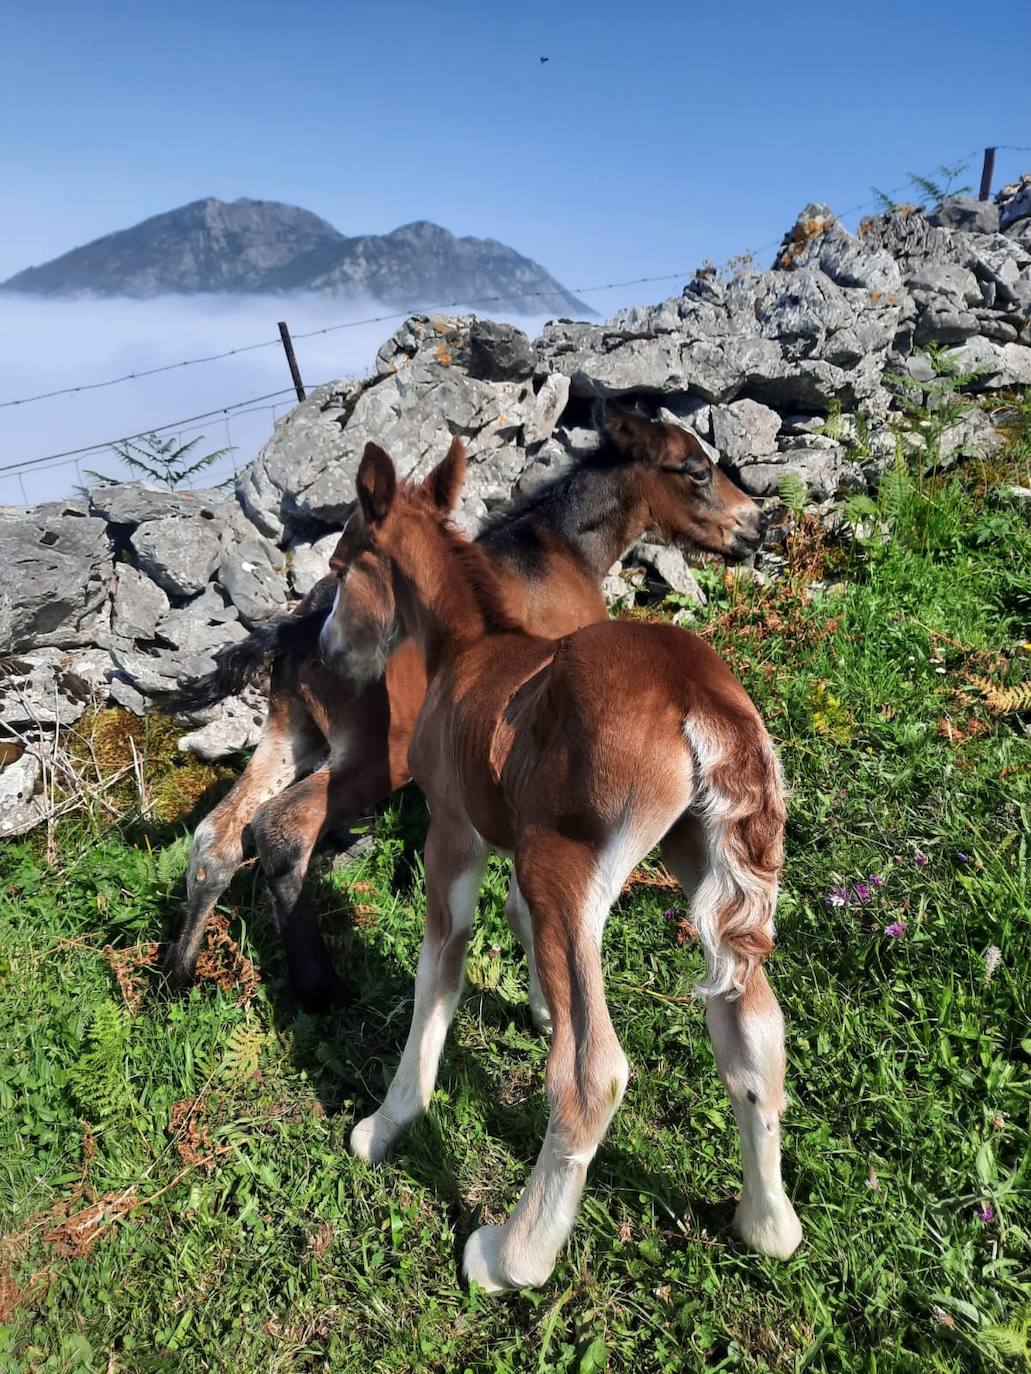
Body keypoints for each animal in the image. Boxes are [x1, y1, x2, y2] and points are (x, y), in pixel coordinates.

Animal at [165, 401, 769, 1011]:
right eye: (696, 470)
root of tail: (301, 628)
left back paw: (180, 971)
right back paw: (319, 987)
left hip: (292, 733)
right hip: (375, 754)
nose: (757, 525)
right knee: (282, 828)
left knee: (217, 837)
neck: (554, 554)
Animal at [327, 436, 802, 1286]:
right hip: (703, 856)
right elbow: (518, 927)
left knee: (590, 1072)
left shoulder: (454, 833)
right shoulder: (512, 842)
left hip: (566, 863)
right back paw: (766, 1225)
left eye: (341, 564)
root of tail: (698, 693)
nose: (331, 654)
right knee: (753, 1031)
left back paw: (510, 1256)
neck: (471, 646)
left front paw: (385, 1125)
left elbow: (436, 972)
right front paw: (540, 1003)